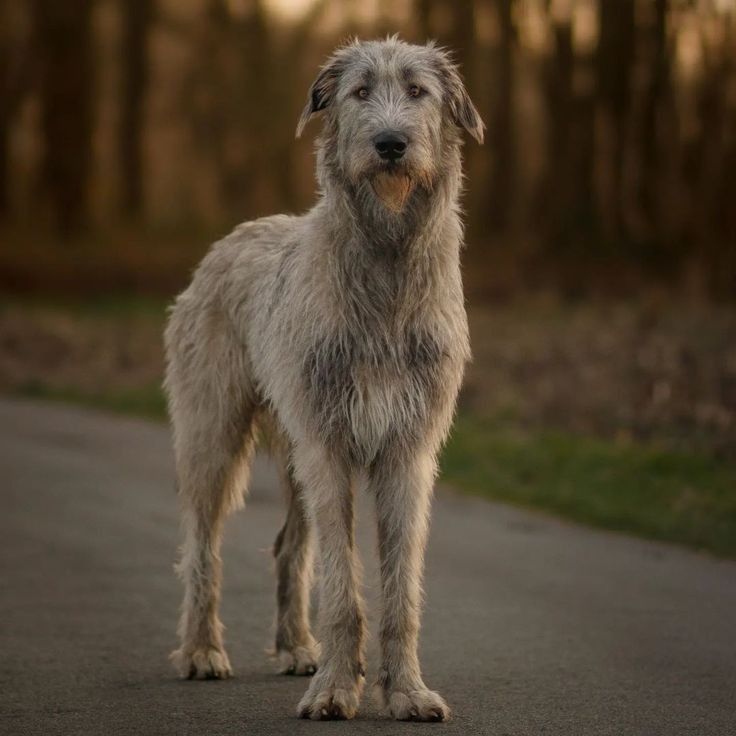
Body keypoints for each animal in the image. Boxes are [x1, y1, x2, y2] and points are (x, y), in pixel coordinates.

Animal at [164, 37, 484, 720]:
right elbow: (342, 588)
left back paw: (296, 648)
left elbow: (400, 589)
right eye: (360, 91)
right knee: (202, 546)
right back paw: (202, 650)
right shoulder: (329, 447)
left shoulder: (408, 450)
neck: (387, 263)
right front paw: (338, 688)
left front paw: (406, 690)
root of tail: (232, 236)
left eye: (417, 91)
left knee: (289, 545)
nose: (390, 143)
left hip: (296, 448)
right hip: (215, 431)